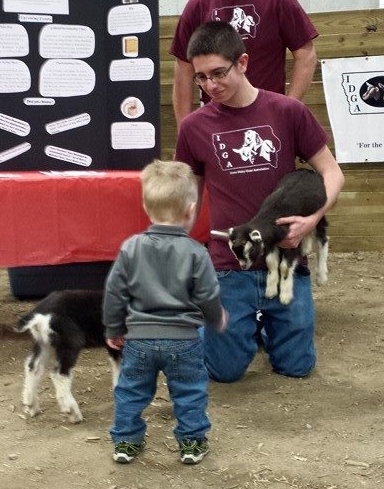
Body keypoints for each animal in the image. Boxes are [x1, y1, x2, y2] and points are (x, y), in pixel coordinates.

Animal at [15, 290, 121, 424]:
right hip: (70, 342)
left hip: (45, 343)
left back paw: (31, 405)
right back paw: (72, 412)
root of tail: (41, 314)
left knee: (32, 366)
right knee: (60, 374)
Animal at [212, 170, 328, 304]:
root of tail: (308, 171)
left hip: (318, 214)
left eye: (251, 249)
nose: (243, 266)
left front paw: (285, 296)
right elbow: (271, 263)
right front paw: (271, 291)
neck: (272, 218)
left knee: (322, 239)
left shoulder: (292, 239)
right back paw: (305, 248)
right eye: (233, 251)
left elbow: (284, 267)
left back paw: (321, 276)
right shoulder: (270, 243)